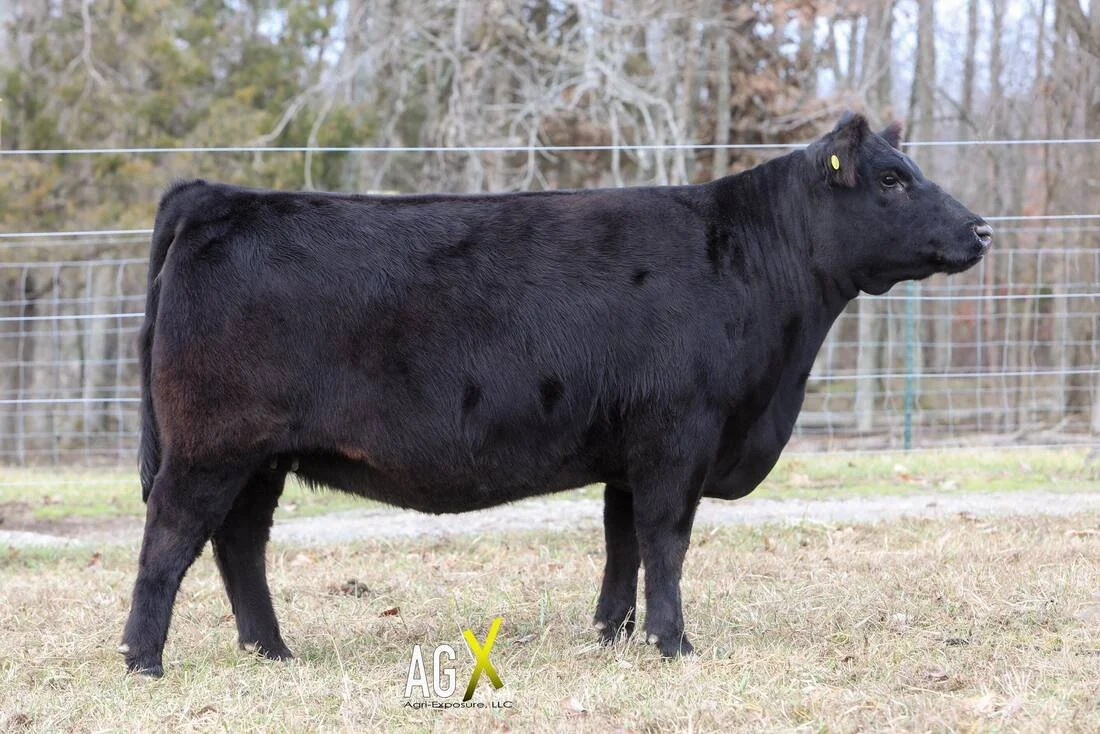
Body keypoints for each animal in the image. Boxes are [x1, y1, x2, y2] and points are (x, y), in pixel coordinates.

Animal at [119, 114, 991, 676]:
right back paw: (143, 661)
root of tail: (217, 193)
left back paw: (272, 652)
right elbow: (667, 541)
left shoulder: (629, 450)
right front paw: (674, 645)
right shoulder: (680, 435)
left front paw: (611, 636)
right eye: (892, 179)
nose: (982, 229)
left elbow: (622, 544)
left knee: (238, 546)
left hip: (259, 457)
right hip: (211, 447)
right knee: (170, 541)